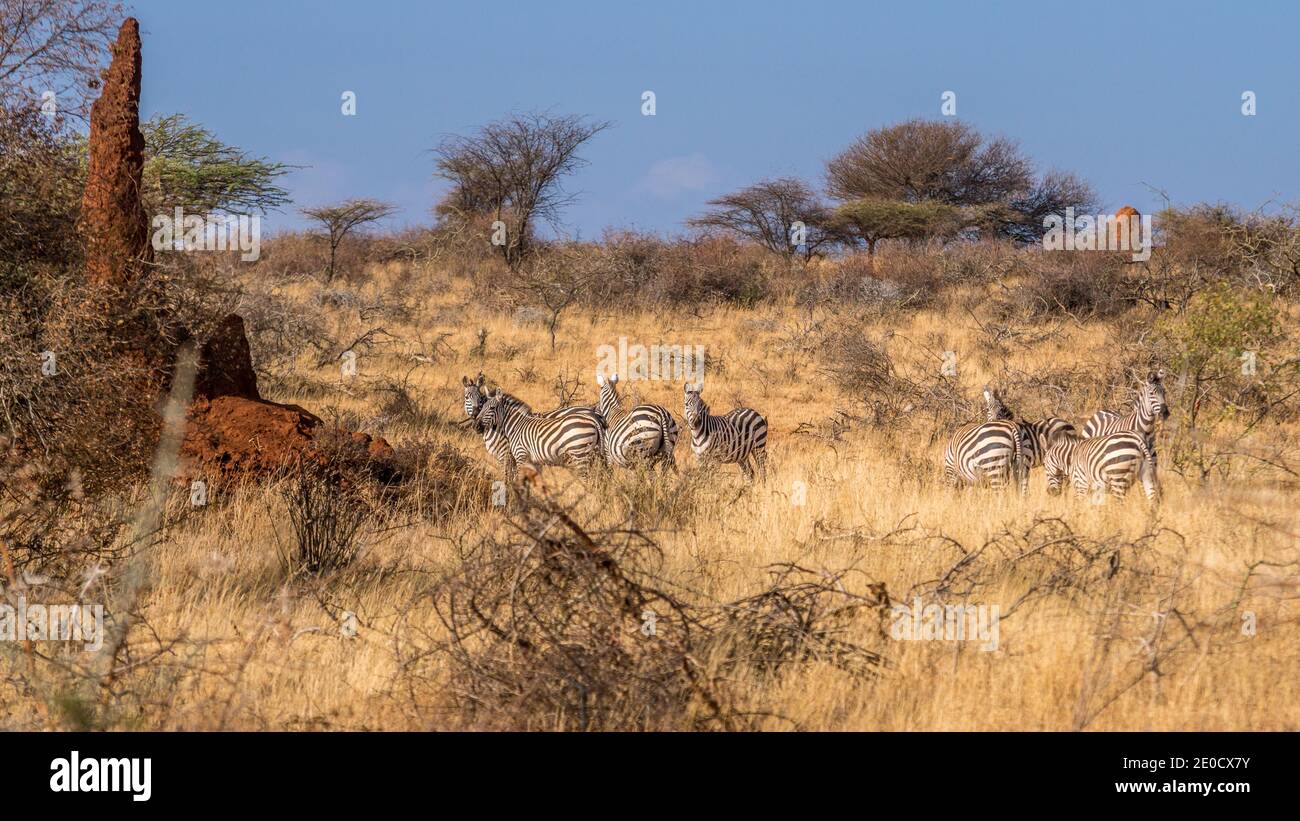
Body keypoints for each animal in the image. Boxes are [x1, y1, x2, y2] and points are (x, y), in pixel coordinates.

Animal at [462, 374, 603, 478]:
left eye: (481, 399)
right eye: (466, 397)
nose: (475, 425)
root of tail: (593, 412)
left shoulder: (507, 456)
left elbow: (509, 479)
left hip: (581, 453)